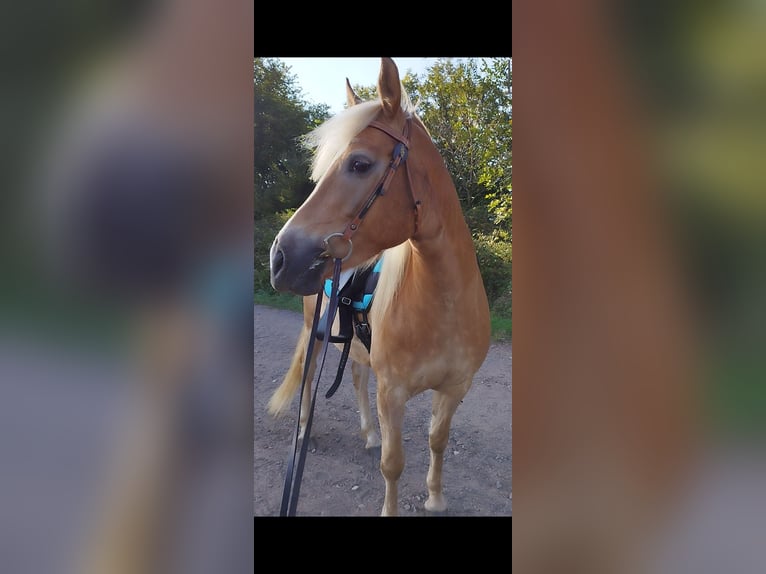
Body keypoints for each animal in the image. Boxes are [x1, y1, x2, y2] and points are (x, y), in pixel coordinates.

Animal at [268, 58, 492, 516]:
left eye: (359, 164)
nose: (279, 257)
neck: (444, 306)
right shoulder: (393, 392)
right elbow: (393, 463)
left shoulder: (455, 388)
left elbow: (437, 441)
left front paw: (436, 498)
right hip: (315, 335)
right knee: (310, 381)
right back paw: (305, 433)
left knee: (355, 376)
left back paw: (369, 433)